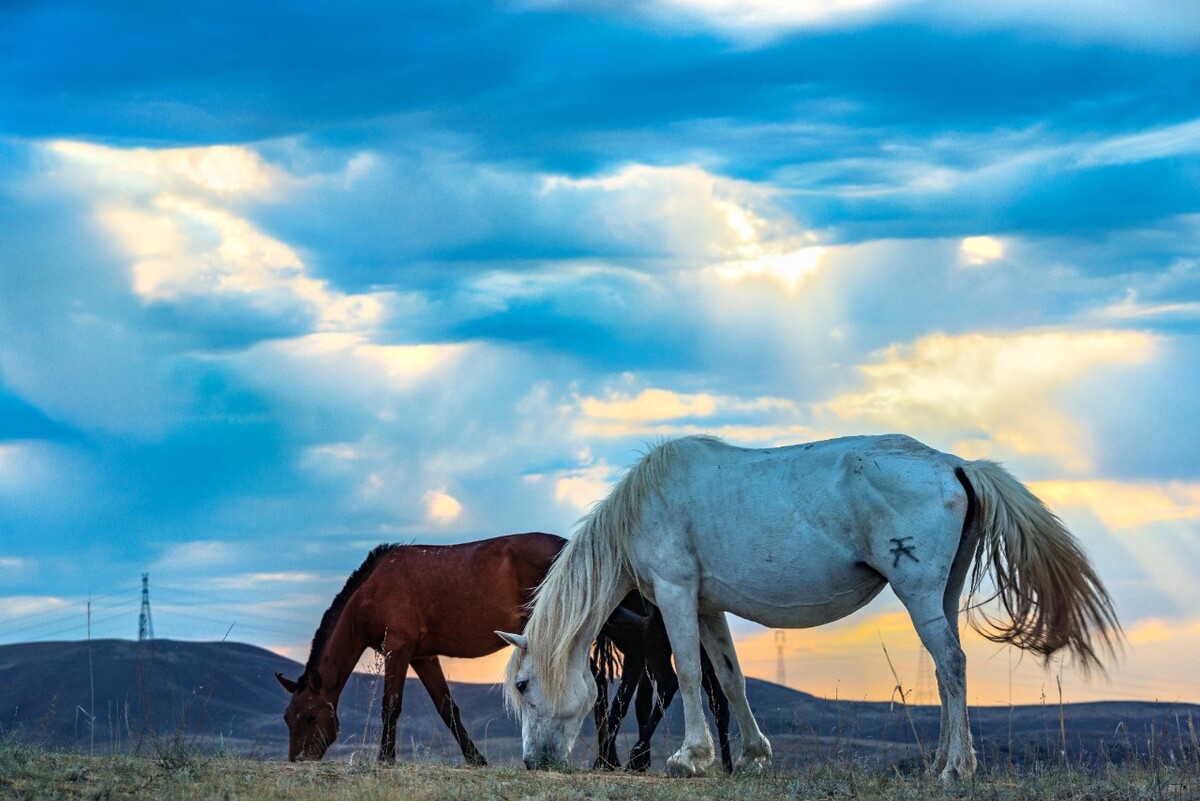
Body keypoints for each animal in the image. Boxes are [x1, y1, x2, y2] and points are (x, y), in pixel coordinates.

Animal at [276, 532, 566, 762]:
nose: (298, 760)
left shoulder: (397, 650)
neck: (370, 593)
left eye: (310, 716)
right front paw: (476, 760)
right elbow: (447, 708)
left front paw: (385, 758)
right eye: (288, 718)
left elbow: (390, 705)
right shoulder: (423, 657)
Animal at [590, 592, 729, 772]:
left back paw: (635, 755)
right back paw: (728, 766)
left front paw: (611, 760)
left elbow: (625, 701)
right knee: (718, 699)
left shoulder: (636, 642)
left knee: (669, 681)